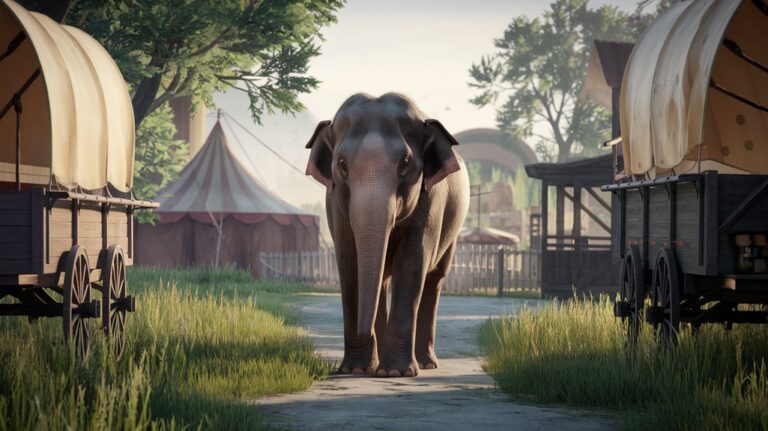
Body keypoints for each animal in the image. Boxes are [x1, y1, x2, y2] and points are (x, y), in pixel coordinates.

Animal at [305, 93, 470, 377]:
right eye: (342, 165)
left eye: (405, 164)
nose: (364, 332)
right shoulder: (334, 202)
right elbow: (349, 261)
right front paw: (355, 370)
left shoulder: (431, 200)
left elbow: (412, 261)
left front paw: (396, 372)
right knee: (381, 280)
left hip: (453, 233)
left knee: (434, 279)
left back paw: (425, 363)